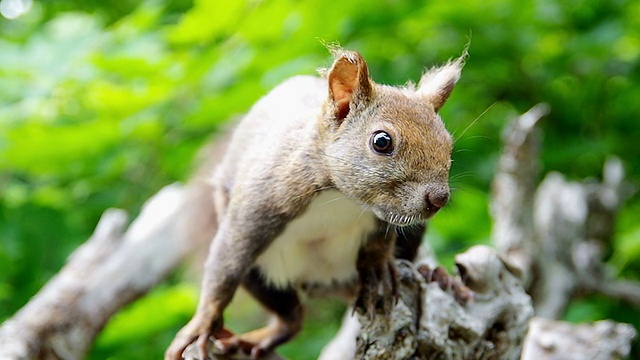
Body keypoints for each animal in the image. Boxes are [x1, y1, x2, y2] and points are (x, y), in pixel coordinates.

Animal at [165, 48, 462, 360]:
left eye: (448, 142)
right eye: (382, 141)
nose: (439, 198)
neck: (340, 198)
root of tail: (328, 282)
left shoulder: (384, 216)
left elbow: (379, 244)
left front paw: (377, 270)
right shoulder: (255, 209)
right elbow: (223, 272)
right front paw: (201, 325)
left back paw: (434, 274)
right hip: (258, 273)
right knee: (291, 317)